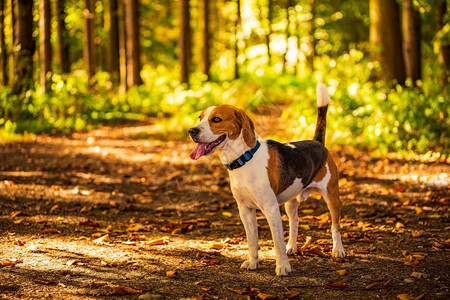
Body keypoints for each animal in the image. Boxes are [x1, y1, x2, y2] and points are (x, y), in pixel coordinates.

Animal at [186, 83, 344, 276]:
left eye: (216, 119)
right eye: (200, 117)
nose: (192, 131)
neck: (244, 159)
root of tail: (317, 143)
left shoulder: (271, 208)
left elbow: (277, 242)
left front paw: (282, 266)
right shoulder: (245, 210)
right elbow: (252, 240)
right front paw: (252, 262)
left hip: (332, 196)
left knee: (335, 226)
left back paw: (338, 250)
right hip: (291, 201)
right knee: (295, 221)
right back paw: (292, 247)